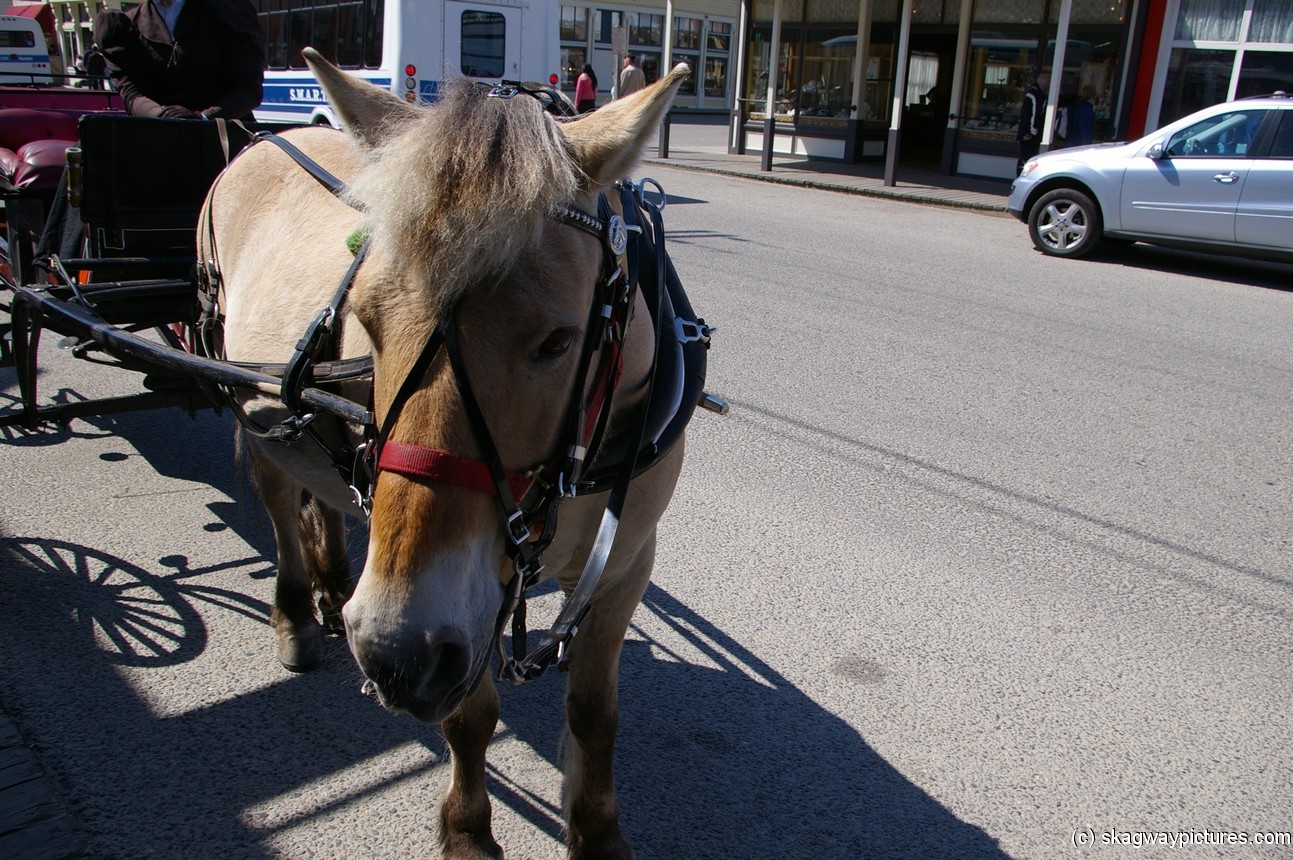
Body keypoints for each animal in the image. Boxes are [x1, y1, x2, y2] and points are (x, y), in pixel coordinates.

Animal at [199, 50, 693, 859]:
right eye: (365, 320)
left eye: (557, 340)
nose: (391, 652)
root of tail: (259, 140)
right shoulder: (460, 606)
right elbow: (470, 714)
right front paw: (467, 831)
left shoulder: (626, 563)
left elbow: (594, 711)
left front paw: (595, 831)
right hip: (254, 406)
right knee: (278, 505)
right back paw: (298, 610)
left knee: (321, 499)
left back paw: (333, 585)